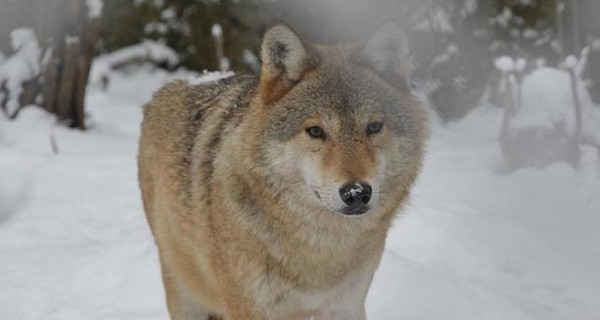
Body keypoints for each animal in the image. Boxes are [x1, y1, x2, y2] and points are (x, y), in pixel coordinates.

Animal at [137, 22, 426, 320]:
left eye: (374, 127)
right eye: (316, 131)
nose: (356, 193)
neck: (321, 250)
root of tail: (178, 84)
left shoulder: (345, 305)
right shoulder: (249, 309)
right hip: (184, 292)